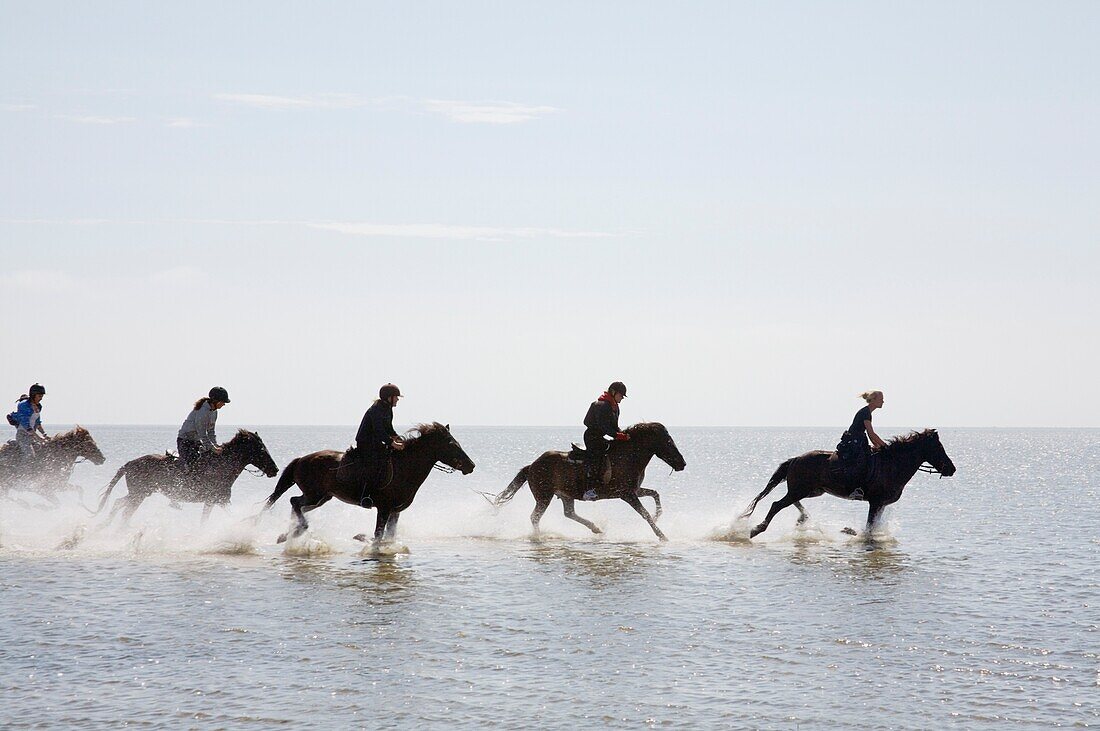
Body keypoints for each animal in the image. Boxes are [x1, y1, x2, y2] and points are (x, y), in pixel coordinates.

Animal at [95, 428, 279, 525]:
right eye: (261, 450)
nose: (275, 470)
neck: (222, 465)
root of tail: (130, 463)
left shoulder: (220, 501)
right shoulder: (211, 501)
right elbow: (204, 520)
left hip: (140, 493)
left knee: (118, 503)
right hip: (138, 495)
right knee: (126, 512)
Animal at [266, 422, 477, 540]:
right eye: (451, 445)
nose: (471, 466)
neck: (405, 467)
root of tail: (301, 459)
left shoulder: (395, 511)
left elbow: (389, 536)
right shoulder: (383, 509)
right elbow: (378, 535)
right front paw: (363, 539)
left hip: (322, 498)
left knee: (298, 506)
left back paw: (290, 533)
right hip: (314, 495)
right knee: (295, 502)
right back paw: (299, 529)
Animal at [492, 422, 682, 540]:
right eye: (668, 442)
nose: (682, 463)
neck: (627, 456)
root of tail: (532, 465)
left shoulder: (635, 491)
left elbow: (655, 495)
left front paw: (658, 516)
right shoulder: (627, 495)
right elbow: (645, 514)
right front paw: (662, 535)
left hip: (566, 495)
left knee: (569, 513)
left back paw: (596, 529)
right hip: (544, 497)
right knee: (535, 517)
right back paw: (539, 536)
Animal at [743, 428, 959, 536]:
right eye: (939, 448)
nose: (951, 469)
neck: (893, 464)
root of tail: (796, 458)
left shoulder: (881, 505)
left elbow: (873, 527)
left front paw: (850, 531)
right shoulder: (876, 502)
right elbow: (869, 528)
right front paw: (853, 532)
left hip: (812, 490)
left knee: (791, 502)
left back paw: (803, 519)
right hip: (802, 489)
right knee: (776, 504)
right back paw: (756, 530)